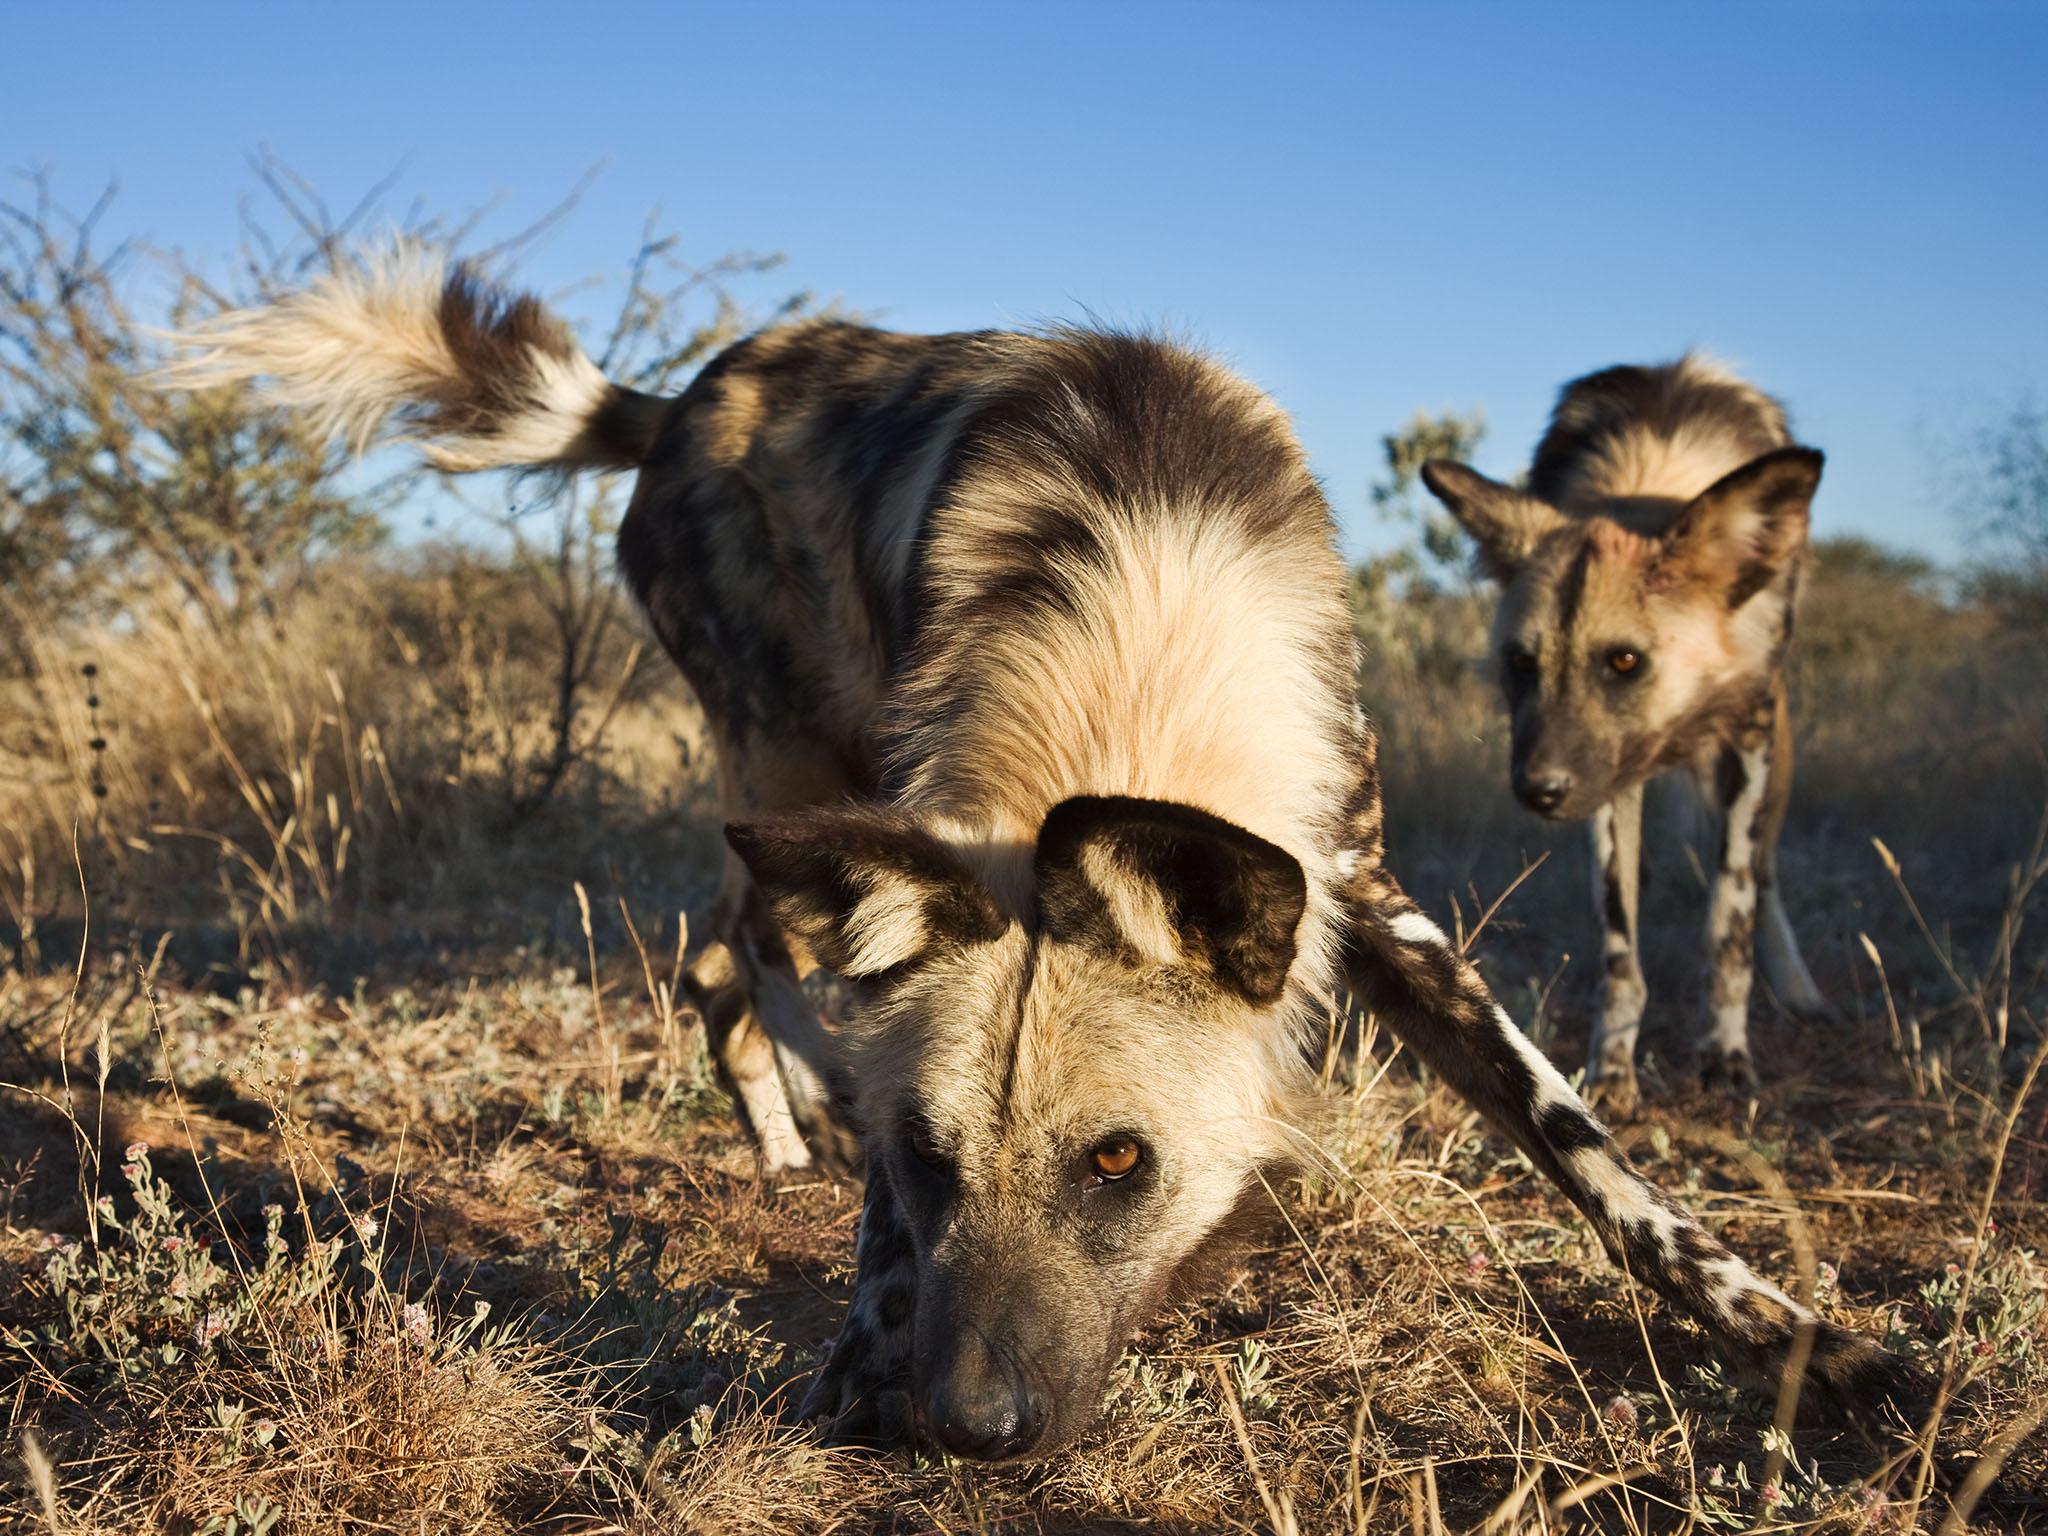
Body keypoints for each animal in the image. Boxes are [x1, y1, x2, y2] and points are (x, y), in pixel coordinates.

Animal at [1425, 360, 1826, 1105]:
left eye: (1625, 662)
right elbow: (1619, 951)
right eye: (1521, 663)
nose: (1537, 790)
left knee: (1765, 876)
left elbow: (1728, 923)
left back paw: (1797, 987)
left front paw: (1724, 1052)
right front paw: (1612, 1067)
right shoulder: (1605, 781)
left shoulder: (1747, 738)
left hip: (1775, 762)